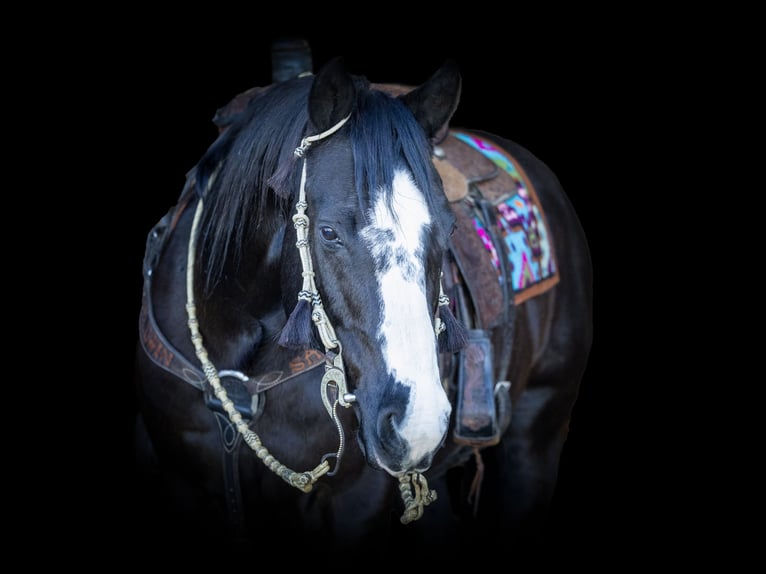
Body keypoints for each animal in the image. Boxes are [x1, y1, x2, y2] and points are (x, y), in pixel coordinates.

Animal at [135, 51, 592, 560]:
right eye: (329, 232)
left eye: (448, 229)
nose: (417, 424)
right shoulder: (182, 482)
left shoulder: (355, 503)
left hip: (536, 436)